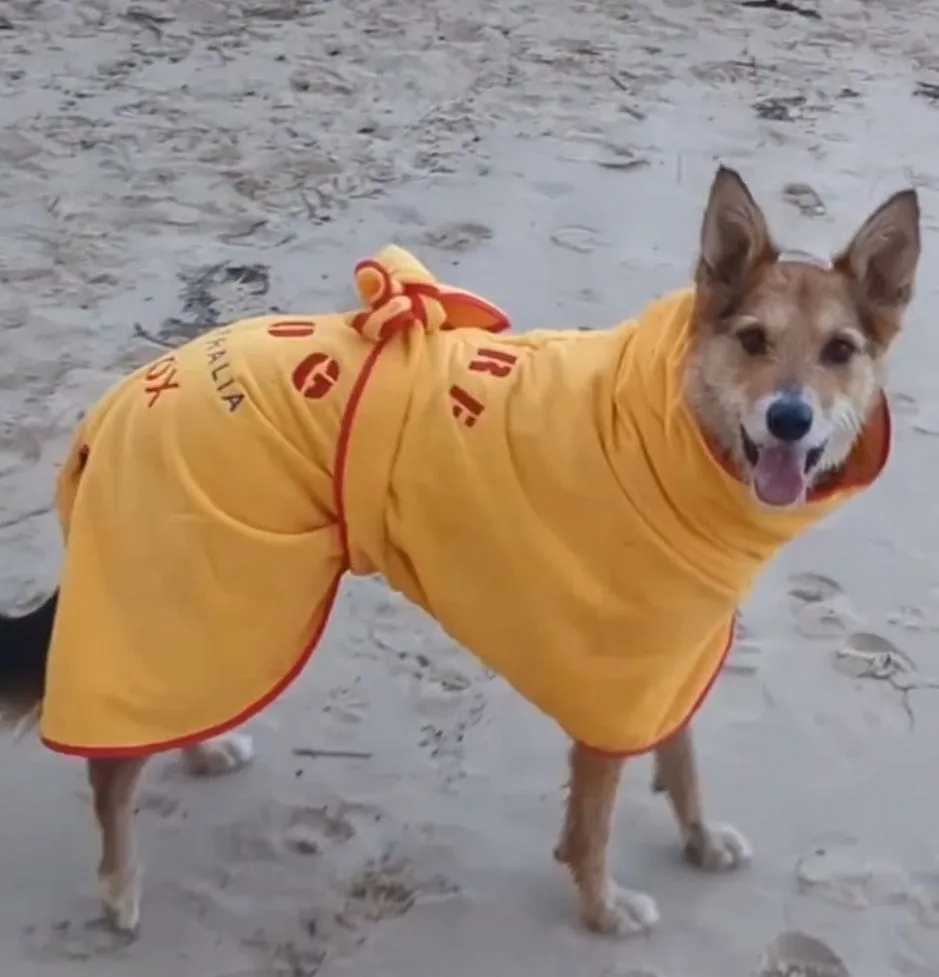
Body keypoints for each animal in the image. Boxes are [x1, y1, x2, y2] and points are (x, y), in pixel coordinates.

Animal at [0, 168, 920, 936]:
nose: (789, 419)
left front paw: (697, 839)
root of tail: (114, 407)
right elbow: (593, 822)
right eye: (753, 340)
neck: (670, 421)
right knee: (111, 770)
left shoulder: (668, 660)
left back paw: (201, 750)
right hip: (203, 585)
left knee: (178, 702)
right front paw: (600, 908)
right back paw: (119, 888)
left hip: (223, 600)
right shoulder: (615, 680)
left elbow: (681, 761)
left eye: (840, 351)